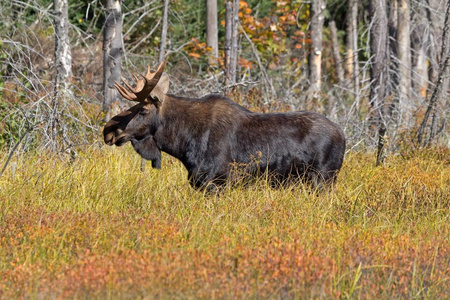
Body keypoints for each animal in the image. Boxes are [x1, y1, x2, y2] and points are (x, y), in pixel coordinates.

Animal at [103, 60, 346, 190]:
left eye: (142, 110)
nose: (108, 130)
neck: (182, 142)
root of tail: (343, 136)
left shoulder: (215, 182)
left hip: (323, 179)